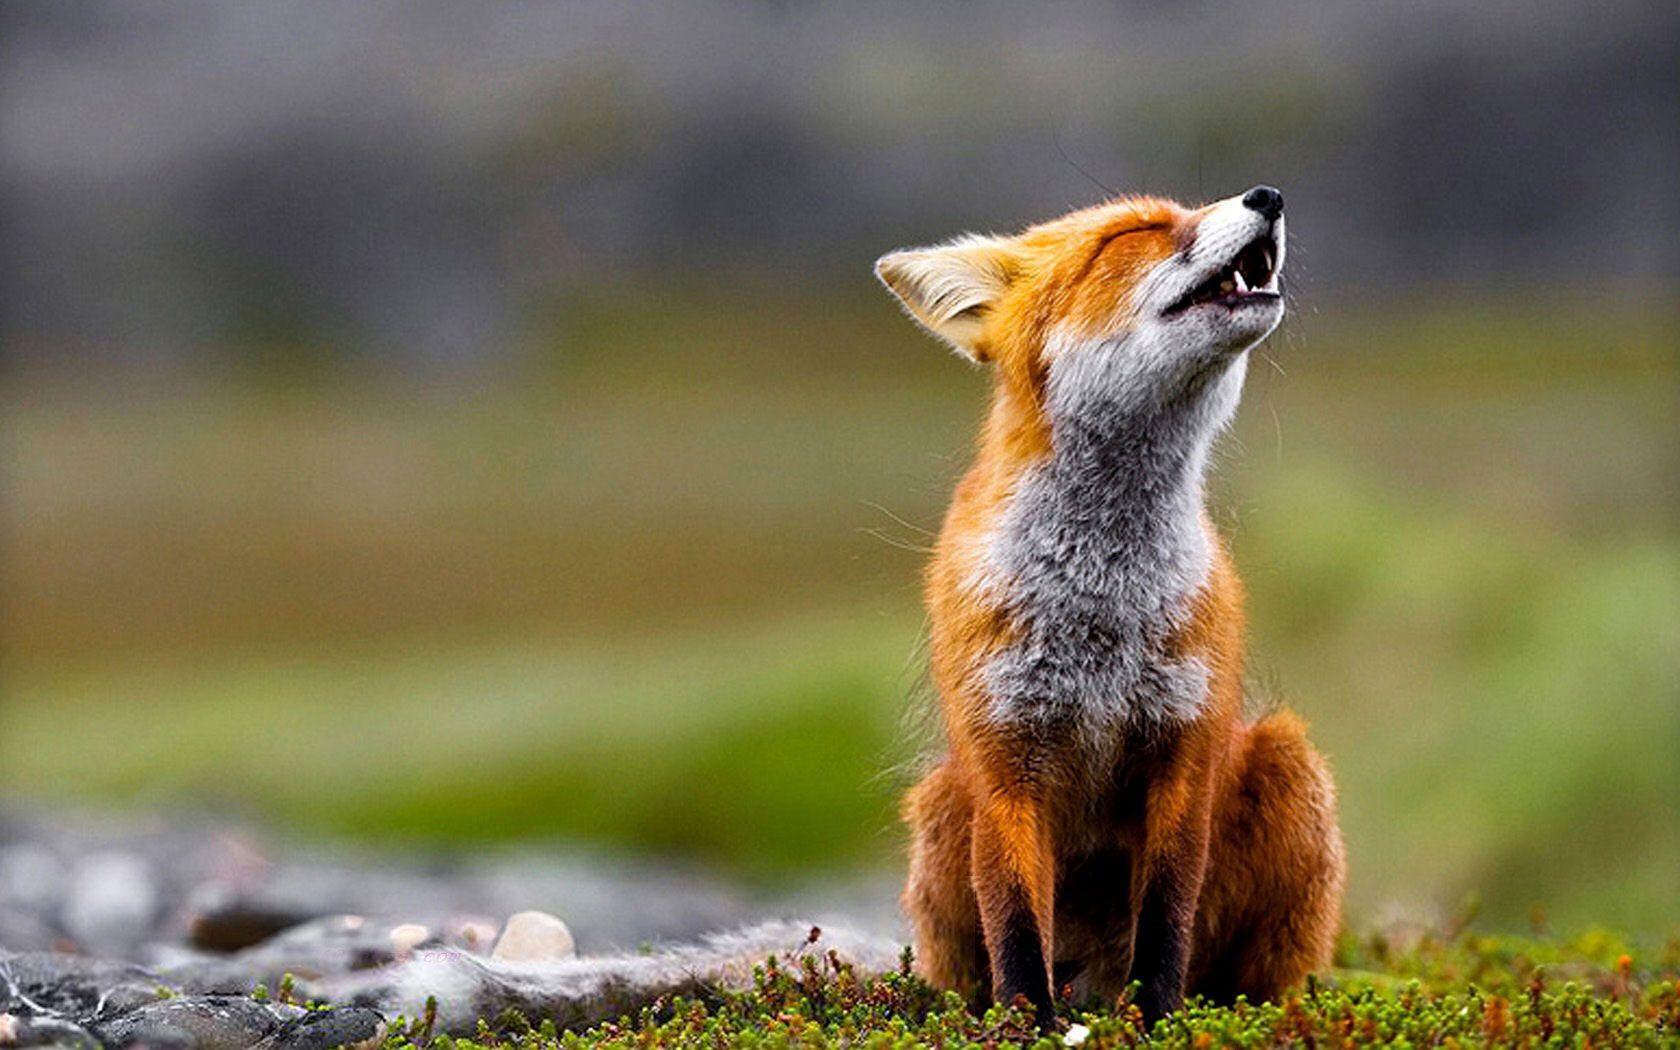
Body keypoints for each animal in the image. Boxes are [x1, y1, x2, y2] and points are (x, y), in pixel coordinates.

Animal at [875, 186, 1346, 1024]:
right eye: (1136, 231)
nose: (1268, 195)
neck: (1101, 603)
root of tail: (1091, 977)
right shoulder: (1005, 763)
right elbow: (1015, 926)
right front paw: (1026, 1027)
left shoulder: (1182, 750)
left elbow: (1165, 920)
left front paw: (1158, 1022)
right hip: (941, 807)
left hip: (1291, 769)